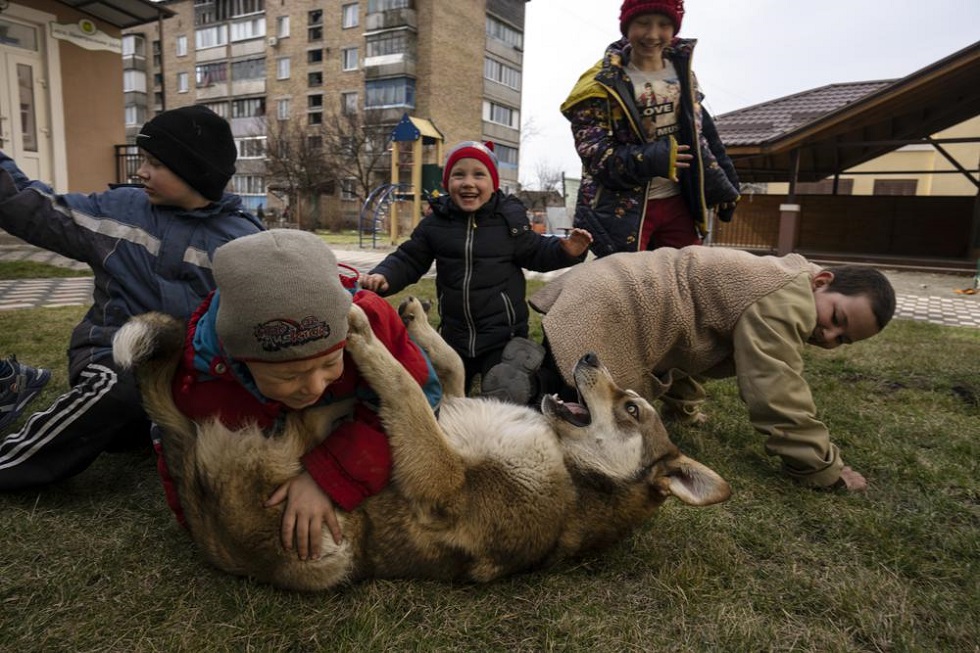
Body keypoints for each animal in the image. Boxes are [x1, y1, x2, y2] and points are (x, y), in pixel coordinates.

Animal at [113, 296, 728, 592]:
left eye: (632, 409)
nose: (592, 355)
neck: (570, 466)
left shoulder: (444, 481)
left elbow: (405, 389)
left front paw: (364, 334)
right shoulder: (451, 401)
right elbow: (448, 365)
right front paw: (411, 319)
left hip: (328, 546)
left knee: (300, 434)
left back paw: (328, 404)